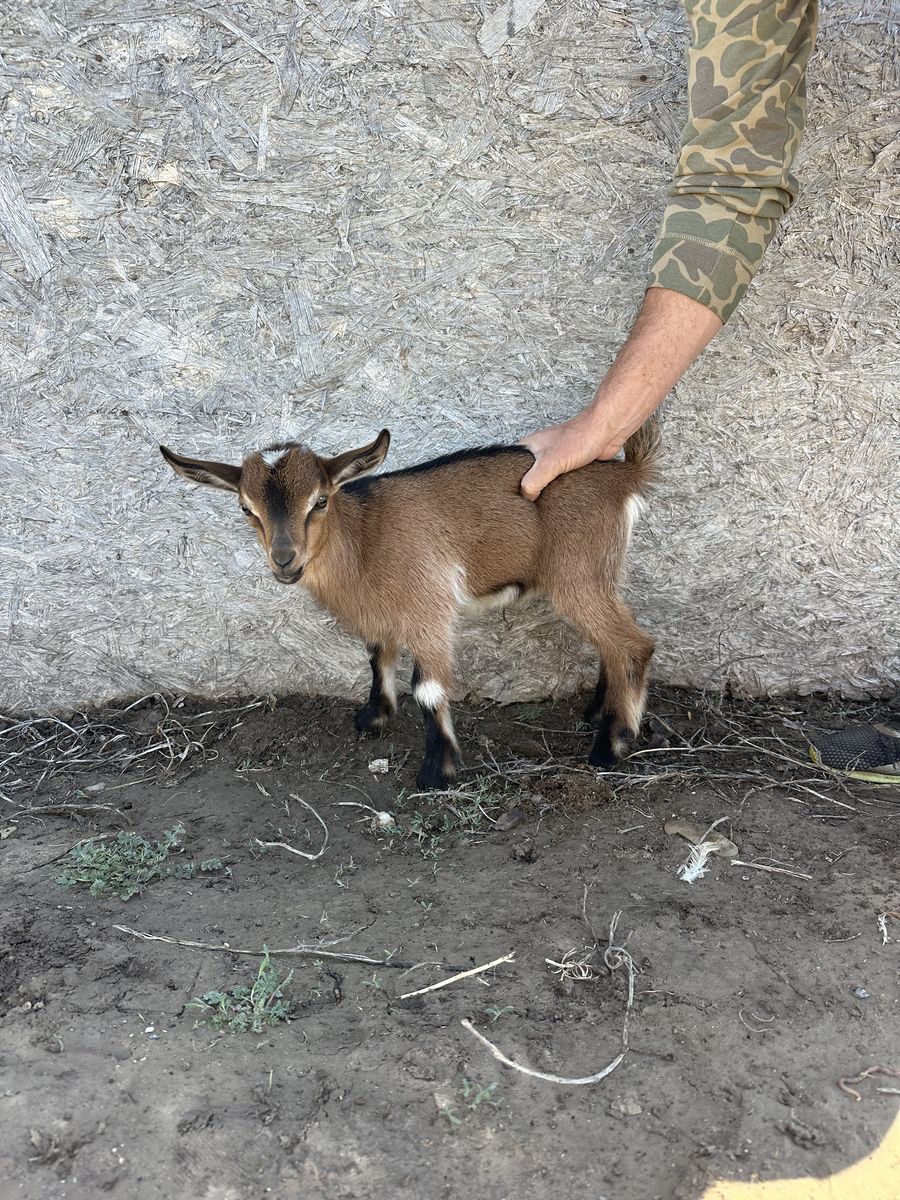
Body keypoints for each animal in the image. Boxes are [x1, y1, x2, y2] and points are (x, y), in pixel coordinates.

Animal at [160, 422, 659, 791]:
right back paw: (598, 715)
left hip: (578, 575)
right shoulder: (384, 613)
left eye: (320, 500)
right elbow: (378, 657)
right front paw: (372, 717)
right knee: (611, 642)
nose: (285, 561)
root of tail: (624, 476)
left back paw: (611, 746)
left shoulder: (429, 606)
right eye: (246, 508)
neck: (365, 537)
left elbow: (428, 688)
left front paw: (438, 772)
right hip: (600, 574)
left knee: (633, 644)